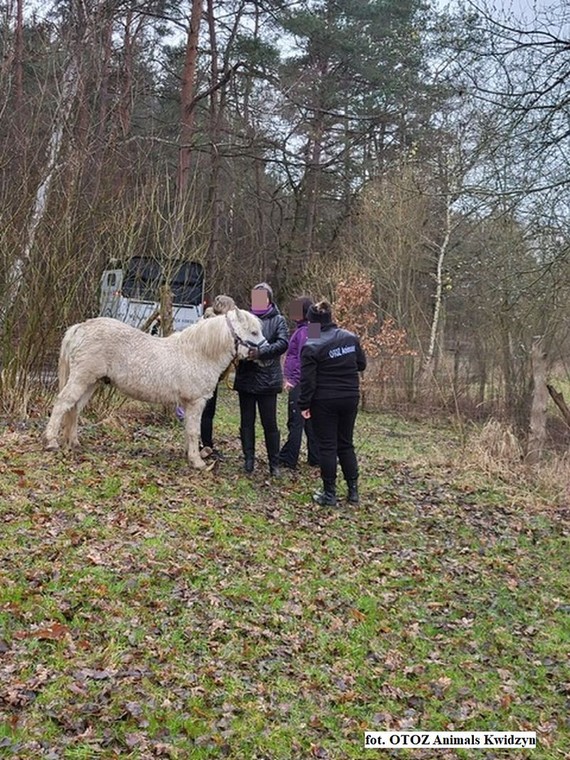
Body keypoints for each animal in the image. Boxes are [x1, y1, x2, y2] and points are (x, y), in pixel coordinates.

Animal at [45, 308, 264, 464]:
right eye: (254, 332)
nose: (266, 352)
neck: (198, 353)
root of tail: (81, 327)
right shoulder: (196, 402)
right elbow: (194, 431)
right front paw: (197, 461)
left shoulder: (187, 404)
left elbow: (188, 429)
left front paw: (190, 455)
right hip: (81, 378)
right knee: (63, 403)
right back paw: (51, 441)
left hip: (91, 383)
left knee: (74, 409)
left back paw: (74, 442)